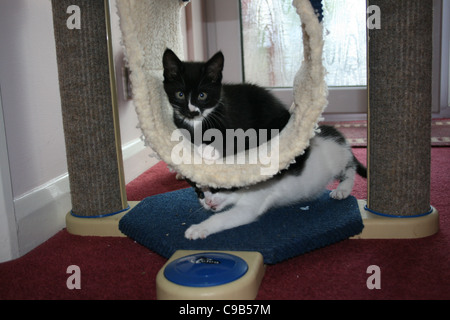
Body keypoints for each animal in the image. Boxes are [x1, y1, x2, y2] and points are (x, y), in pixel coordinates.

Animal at [185, 125, 368, 240]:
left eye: (215, 189)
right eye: (200, 194)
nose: (208, 203)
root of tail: (336, 132)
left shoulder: (251, 205)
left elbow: (222, 218)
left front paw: (199, 228)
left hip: (338, 159)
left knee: (350, 168)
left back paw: (343, 189)